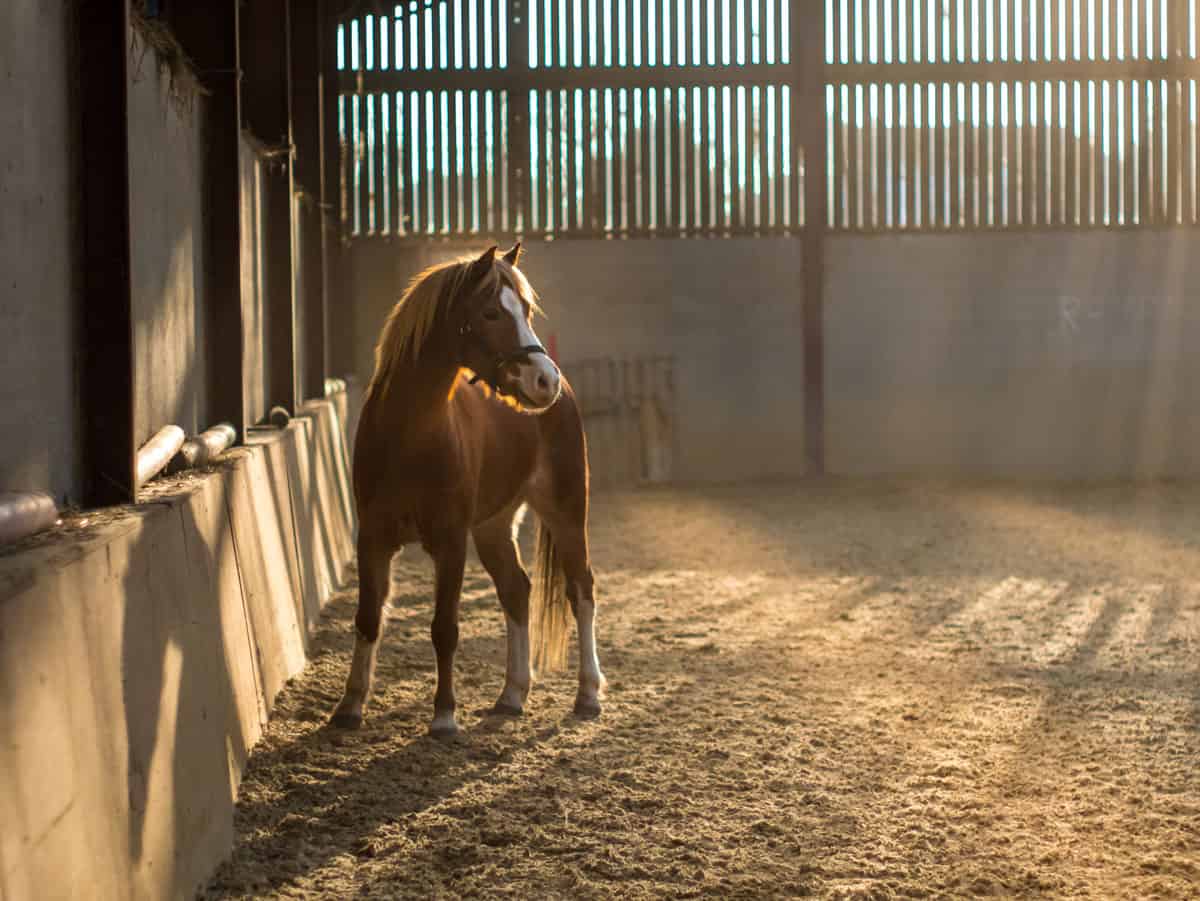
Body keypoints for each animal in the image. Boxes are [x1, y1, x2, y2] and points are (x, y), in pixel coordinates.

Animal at [331, 243, 604, 734]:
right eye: (491, 312)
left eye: (526, 310)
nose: (544, 380)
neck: (410, 434)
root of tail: (567, 393)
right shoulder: (373, 539)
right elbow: (367, 618)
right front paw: (350, 706)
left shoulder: (450, 542)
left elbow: (444, 628)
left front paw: (443, 716)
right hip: (494, 527)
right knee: (517, 590)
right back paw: (512, 695)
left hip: (567, 513)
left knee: (581, 590)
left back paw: (588, 694)